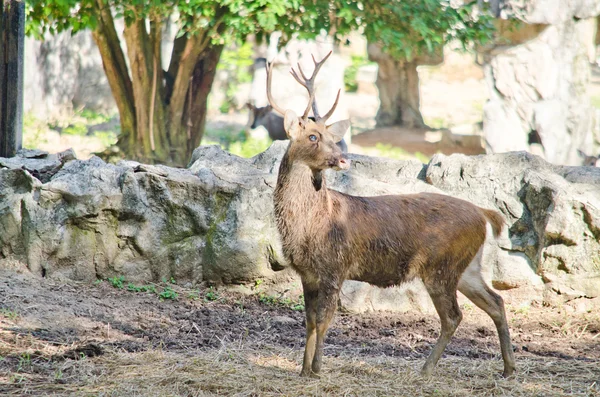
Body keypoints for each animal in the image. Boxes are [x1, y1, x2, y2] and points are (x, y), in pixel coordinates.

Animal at [268, 52, 516, 378]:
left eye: (331, 137)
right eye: (312, 136)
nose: (343, 159)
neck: (310, 224)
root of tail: (484, 213)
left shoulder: (335, 266)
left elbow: (323, 321)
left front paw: (317, 369)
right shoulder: (307, 273)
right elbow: (308, 322)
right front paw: (303, 370)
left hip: (441, 266)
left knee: (454, 316)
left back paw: (426, 368)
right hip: (467, 266)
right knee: (496, 301)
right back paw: (508, 368)